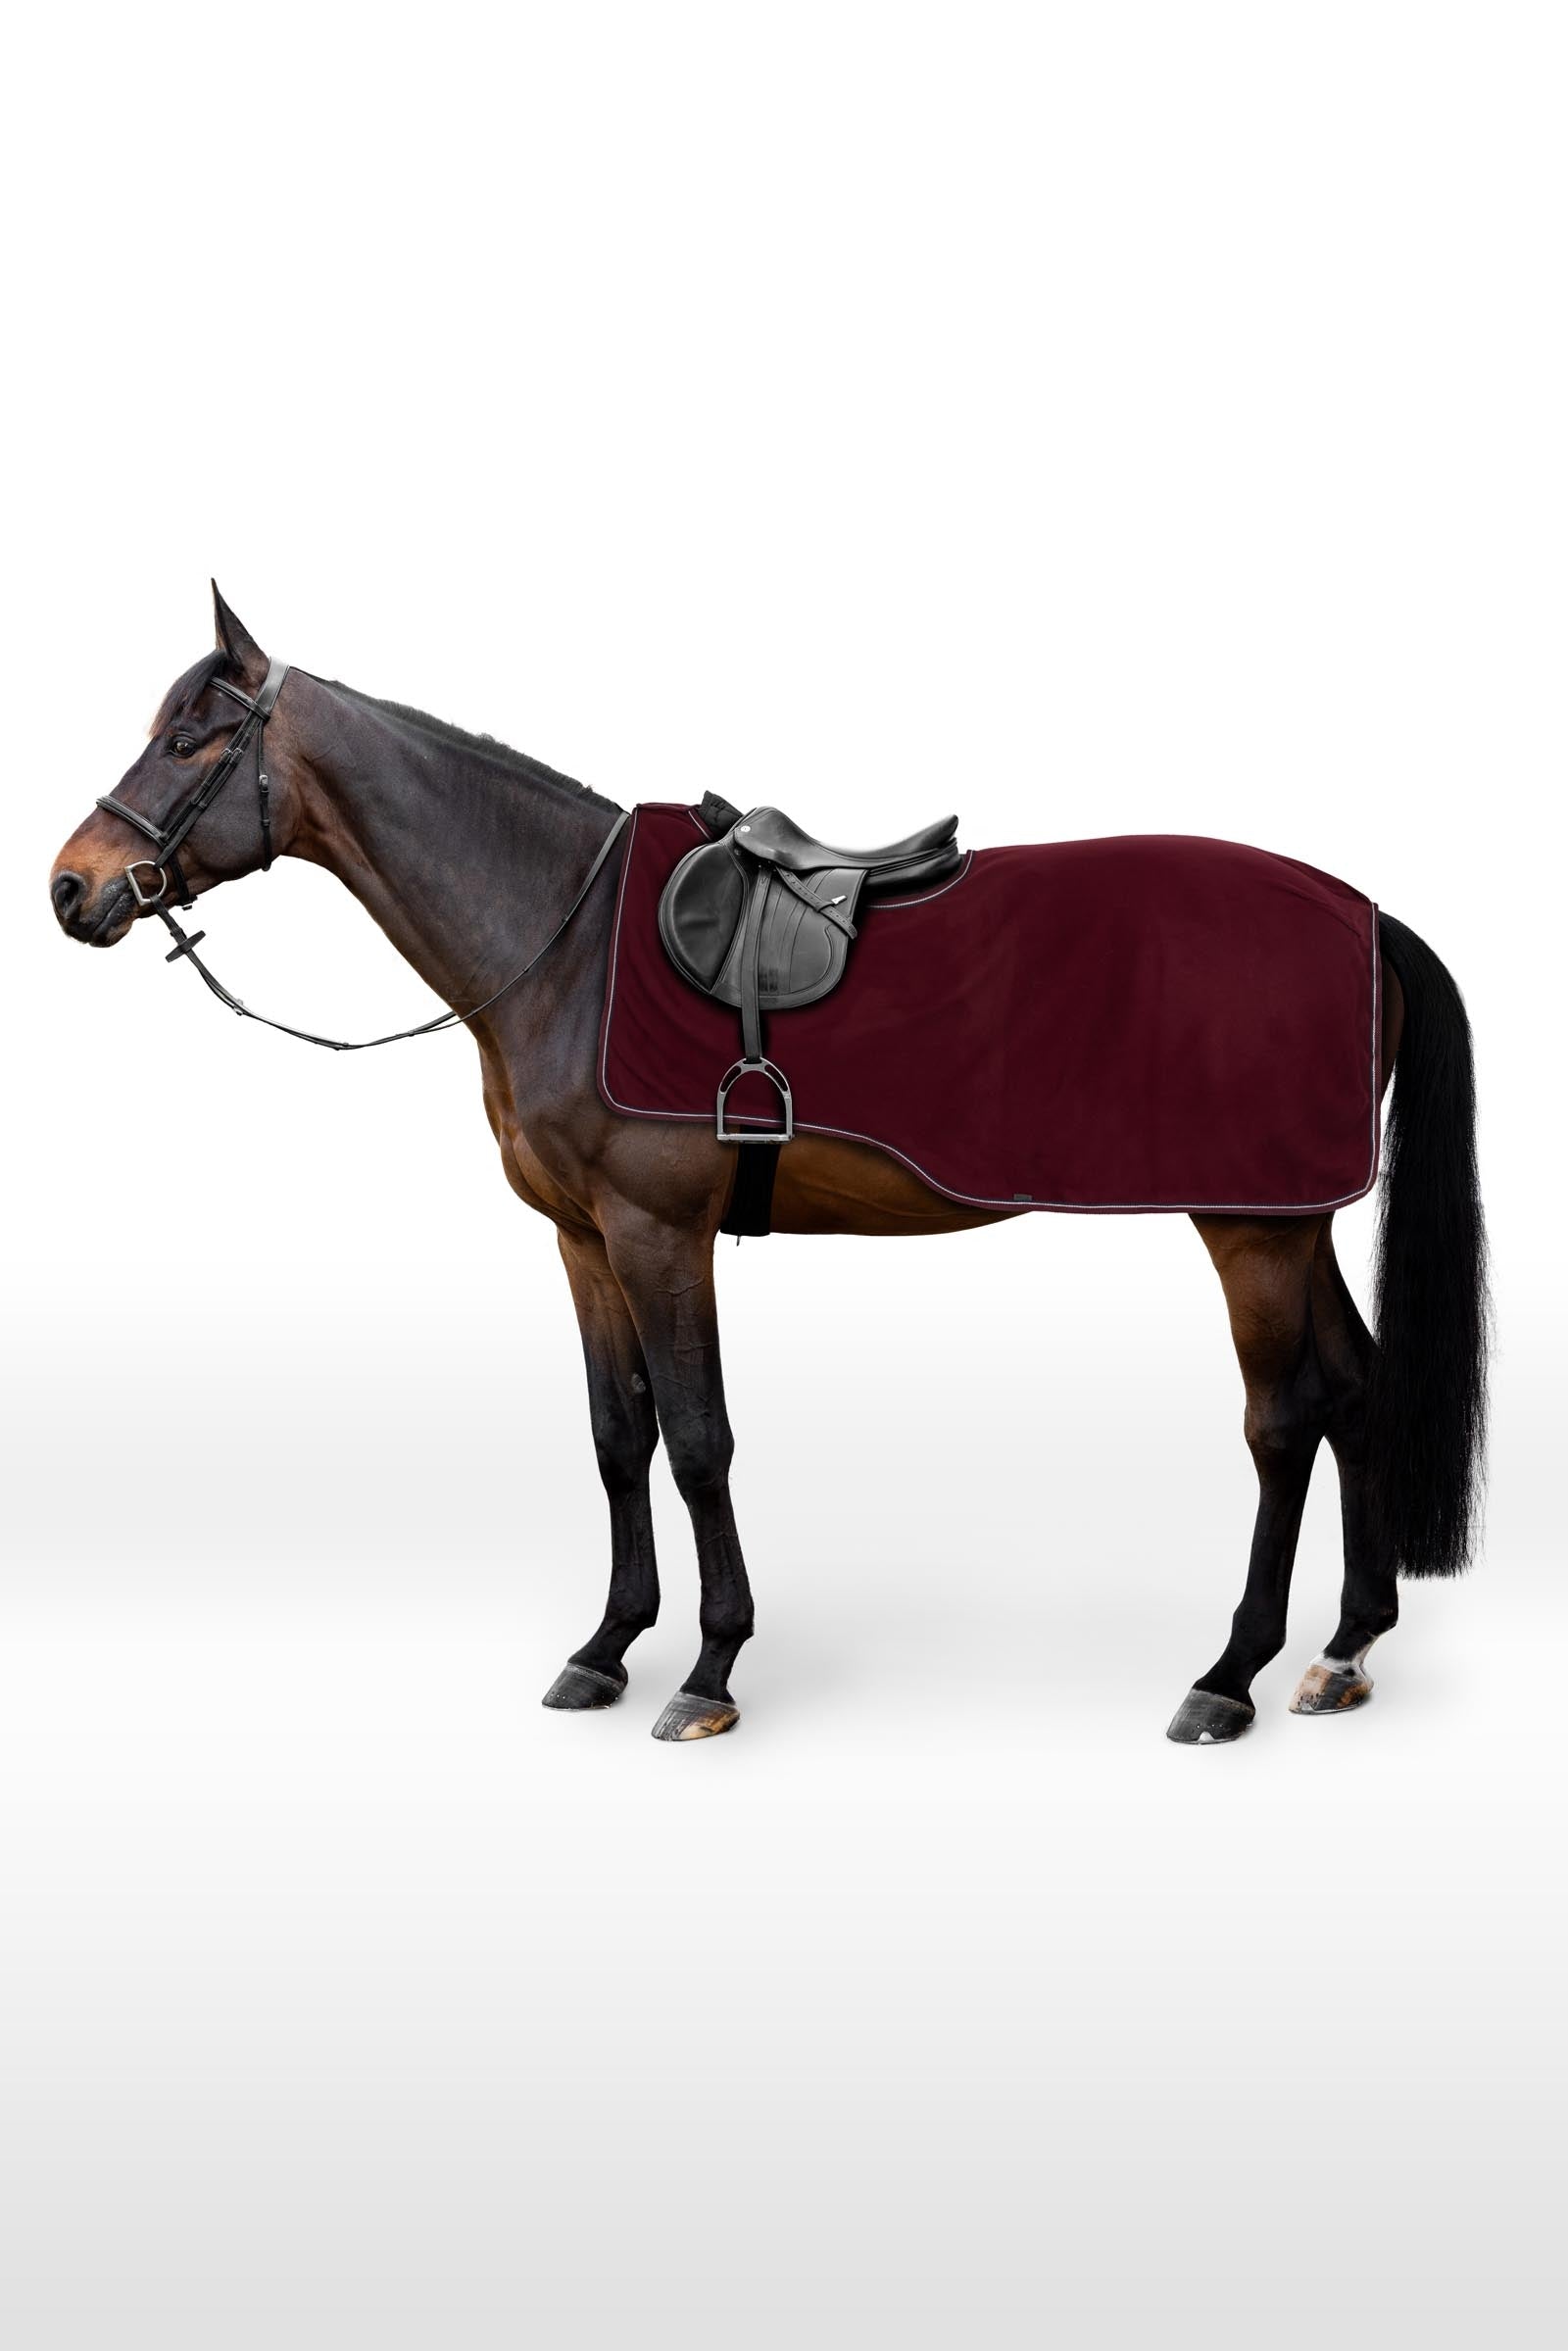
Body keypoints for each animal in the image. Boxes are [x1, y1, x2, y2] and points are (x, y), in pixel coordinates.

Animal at [50, 589, 1488, 1744]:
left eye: (192, 739)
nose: (72, 887)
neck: (563, 941)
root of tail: (1365, 916)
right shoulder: (583, 1240)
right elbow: (617, 1435)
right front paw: (606, 1646)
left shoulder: (658, 1231)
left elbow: (697, 1440)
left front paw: (708, 1668)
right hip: (1292, 1216)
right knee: (1355, 1389)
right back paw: (1344, 1650)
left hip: (1248, 1224)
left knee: (1283, 1419)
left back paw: (1231, 1672)